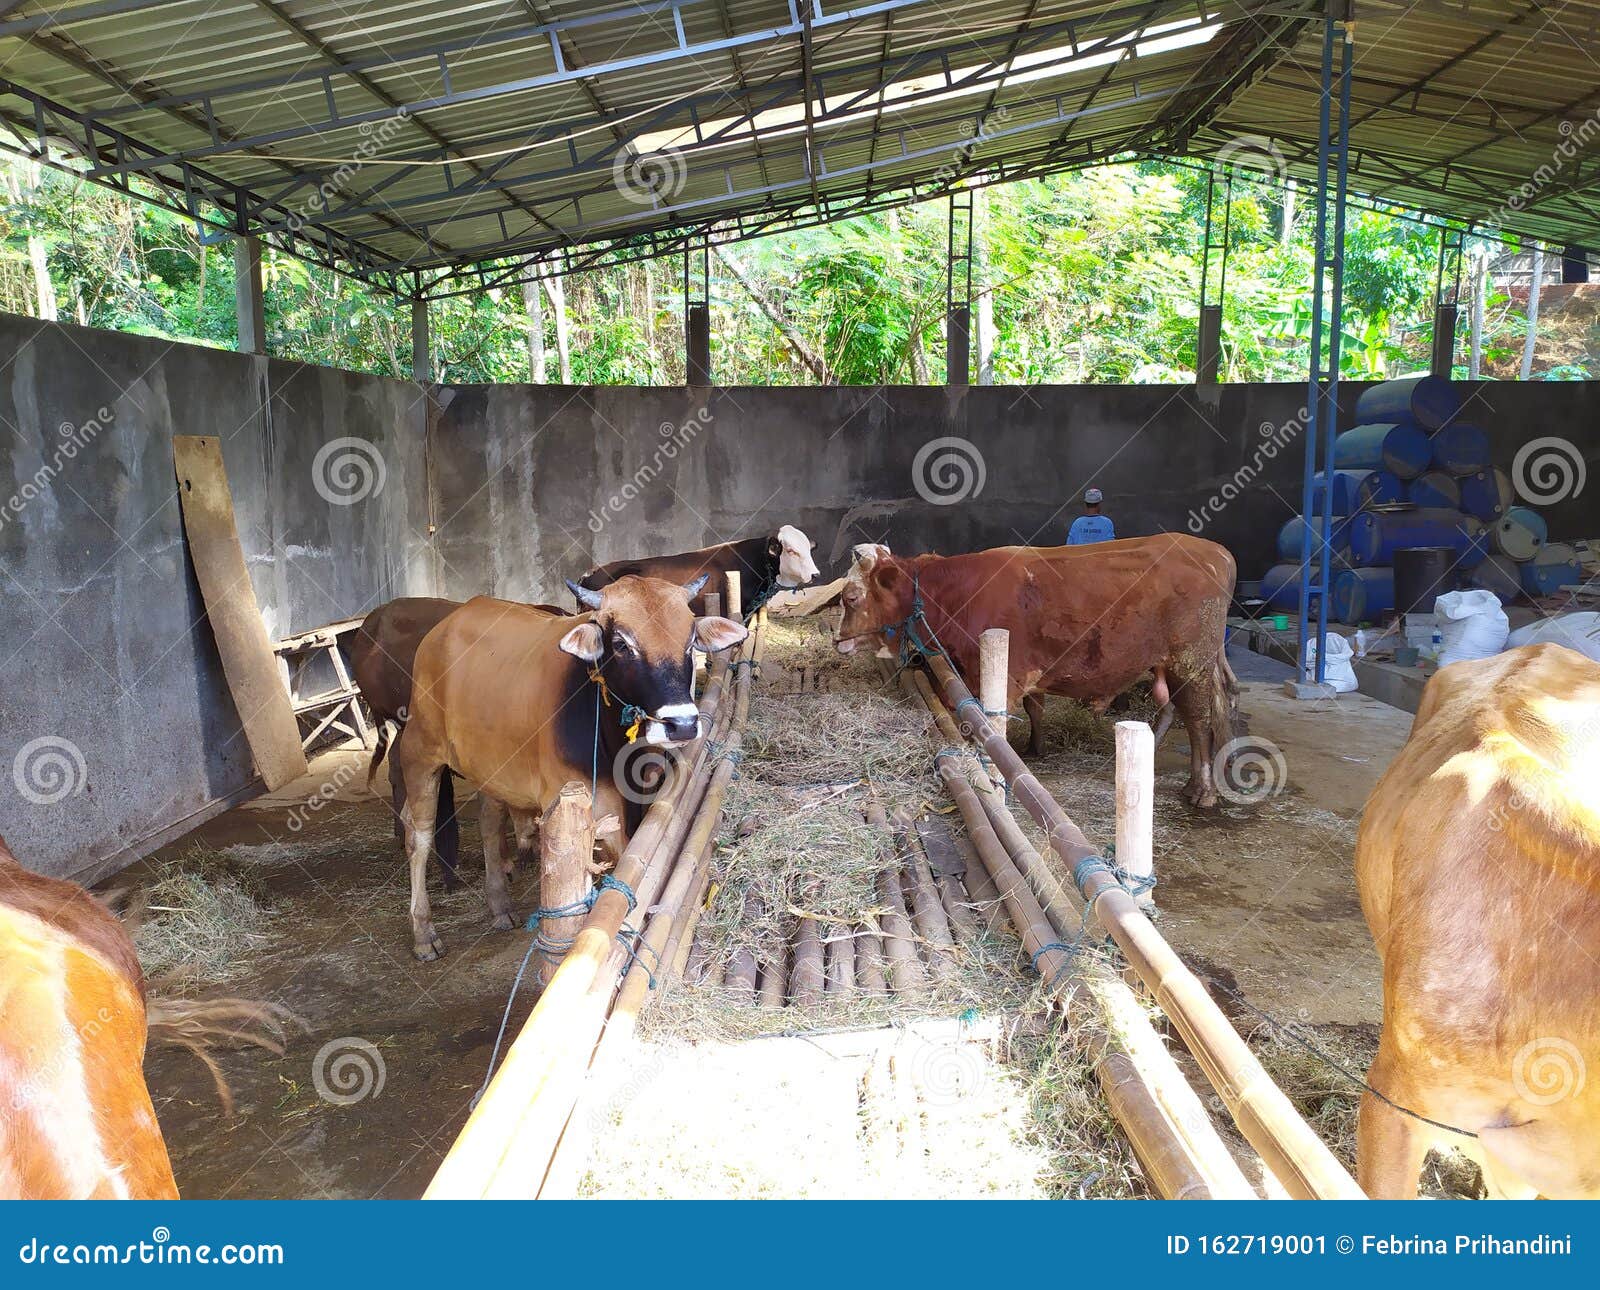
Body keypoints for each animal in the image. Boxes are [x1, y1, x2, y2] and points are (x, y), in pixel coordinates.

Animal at [393, 576, 742, 960]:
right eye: (621, 644)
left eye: (691, 641)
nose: (681, 724)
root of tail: (442, 629)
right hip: (419, 753)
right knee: (418, 834)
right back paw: (424, 934)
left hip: (491, 769)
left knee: (489, 822)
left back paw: (500, 907)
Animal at [838, 534, 1235, 806]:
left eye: (851, 598)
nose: (839, 639)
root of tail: (1215, 551)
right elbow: (1034, 708)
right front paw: (1035, 748)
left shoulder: (1000, 680)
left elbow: (990, 729)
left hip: (1191, 665)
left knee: (1199, 722)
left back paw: (1203, 790)